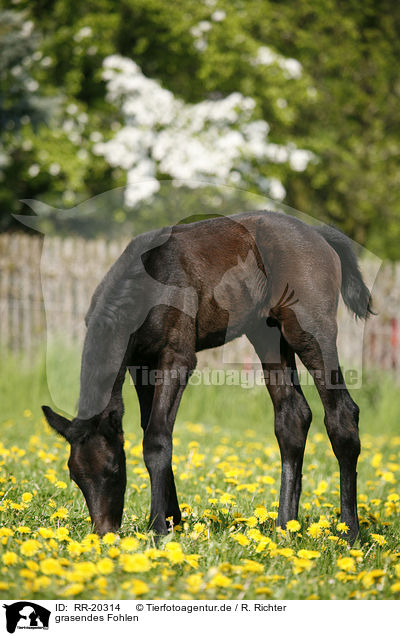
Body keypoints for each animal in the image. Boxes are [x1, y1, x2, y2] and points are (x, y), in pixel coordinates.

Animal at [42, 212, 370, 540]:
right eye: (75, 475)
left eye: (113, 468)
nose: (104, 532)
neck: (145, 287)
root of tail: (318, 234)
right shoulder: (141, 365)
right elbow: (153, 429)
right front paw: (173, 520)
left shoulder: (177, 357)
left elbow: (156, 438)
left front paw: (158, 527)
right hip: (267, 336)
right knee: (292, 417)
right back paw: (284, 527)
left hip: (309, 330)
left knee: (341, 414)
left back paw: (349, 532)